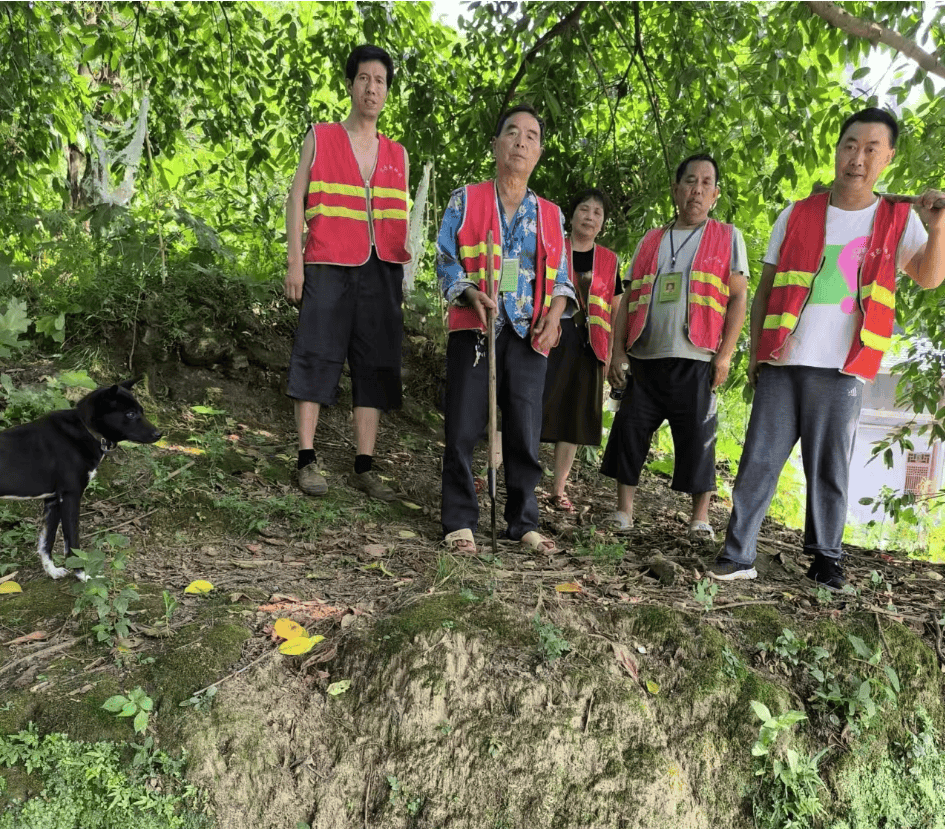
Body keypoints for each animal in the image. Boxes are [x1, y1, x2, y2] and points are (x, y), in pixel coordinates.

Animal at [0, 378, 161, 580]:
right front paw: (83, 575)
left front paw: (52, 571)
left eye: (142, 411)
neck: (85, 428)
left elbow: (46, 541)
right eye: (130, 414)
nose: (159, 434)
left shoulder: (53, 500)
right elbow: (72, 543)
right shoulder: (71, 496)